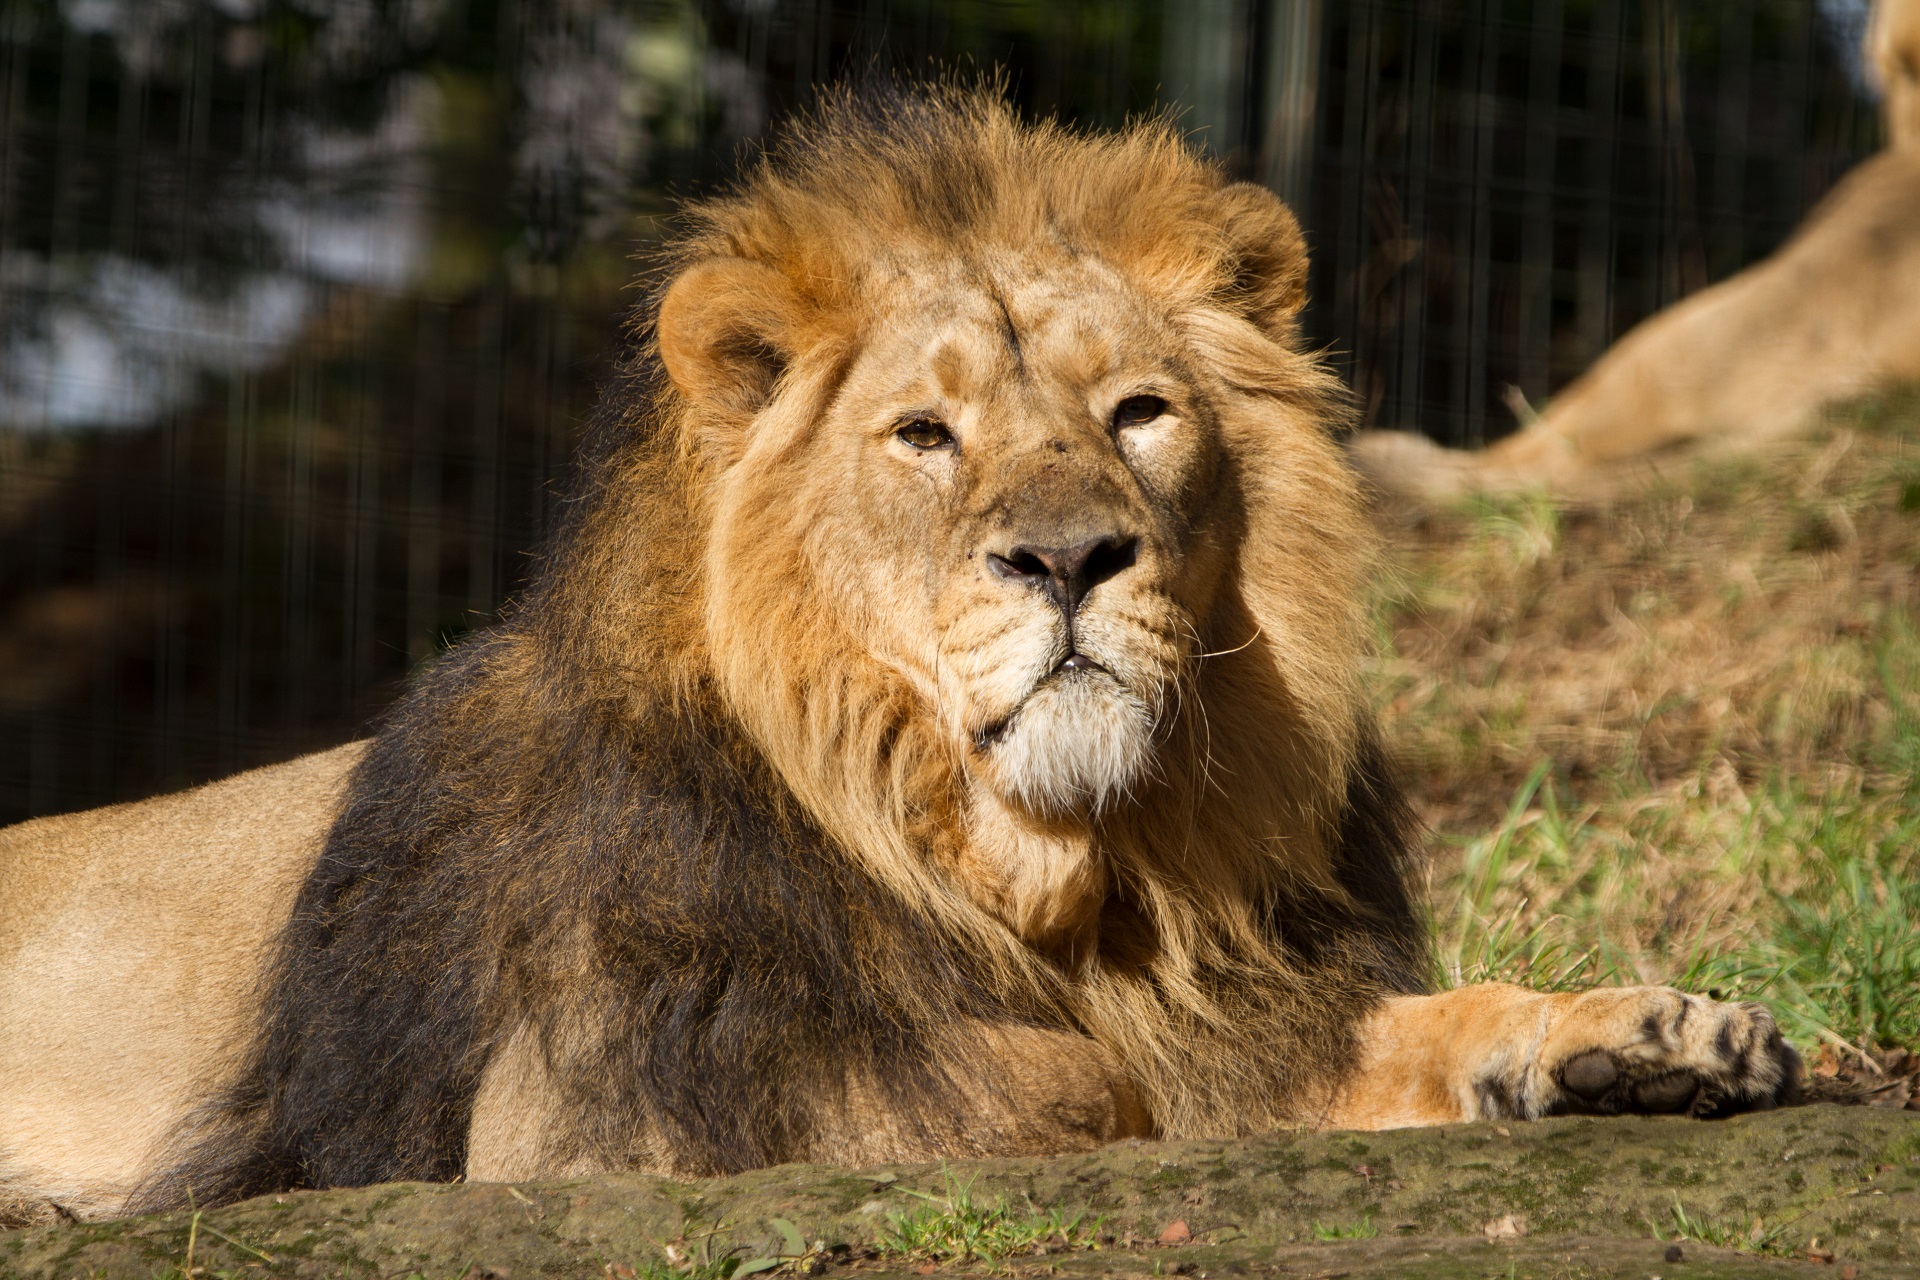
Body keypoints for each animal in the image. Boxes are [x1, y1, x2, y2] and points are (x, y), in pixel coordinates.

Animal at [0, 90, 1797, 1220]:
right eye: (925, 435)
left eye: (1139, 413)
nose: (1069, 557)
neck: (1054, 882)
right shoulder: (585, 1118)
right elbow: (1064, 1089)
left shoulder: (1248, 1003)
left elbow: (1402, 1031)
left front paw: (1646, 1038)